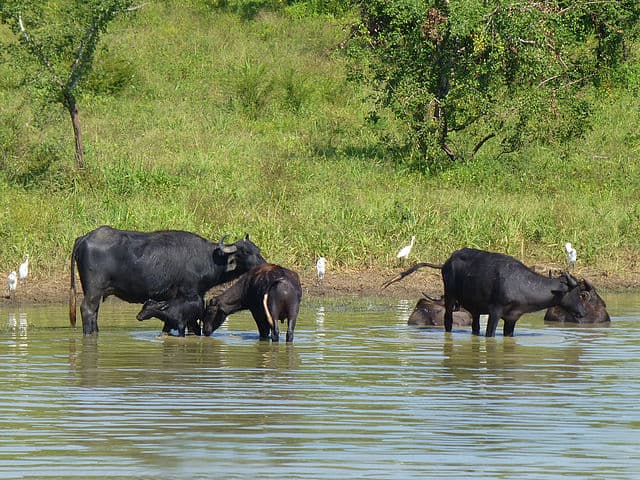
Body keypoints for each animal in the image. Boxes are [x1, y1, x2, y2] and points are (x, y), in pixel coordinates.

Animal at [70, 226, 266, 335]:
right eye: (246, 252)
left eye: (258, 250)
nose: (264, 264)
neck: (207, 258)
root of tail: (84, 238)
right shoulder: (190, 294)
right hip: (94, 290)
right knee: (87, 309)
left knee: (94, 312)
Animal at [383, 247, 586, 337]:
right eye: (577, 293)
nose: (582, 313)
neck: (523, 285)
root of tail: (448, 261)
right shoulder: (495, 312)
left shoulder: (512, 318)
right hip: (450, 297)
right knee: (448, 320)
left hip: (474, 309)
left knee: (475, 327)